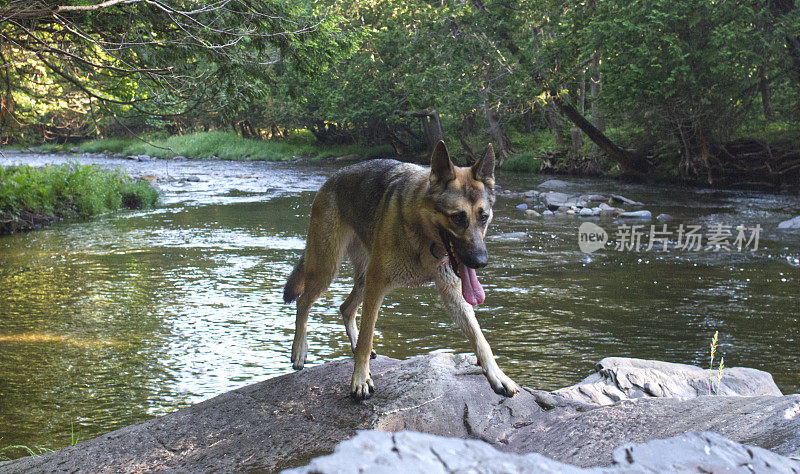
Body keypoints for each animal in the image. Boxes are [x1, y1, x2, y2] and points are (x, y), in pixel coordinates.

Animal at [284, 140, 520, 400]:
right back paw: (299, 350)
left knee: (345, 308)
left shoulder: (453, 294)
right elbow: (367, 336)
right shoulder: (377, 286)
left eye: (483, 217)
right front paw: (360, 379)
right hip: (328, 268)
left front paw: (498, 376)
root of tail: (331, 179)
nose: (480, 261)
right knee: (303, 302)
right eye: (458, 217)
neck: (424, 234)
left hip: (363, 278)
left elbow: (480, 338)